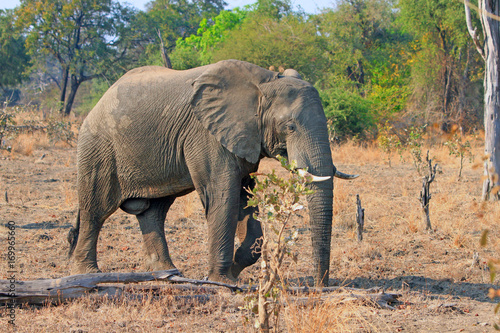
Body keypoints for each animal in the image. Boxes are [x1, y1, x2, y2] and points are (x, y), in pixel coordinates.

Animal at [67, 59, 356, 286]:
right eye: (290, 126)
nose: (320, 286)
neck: (263, 83)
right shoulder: (206, 134)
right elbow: (223, 196)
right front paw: (221, 281)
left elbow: (244, 197)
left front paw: (233, 272)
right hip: (98, 147)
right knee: (95, 210)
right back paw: (88, 275)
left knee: (154, 211)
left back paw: (168, 274)